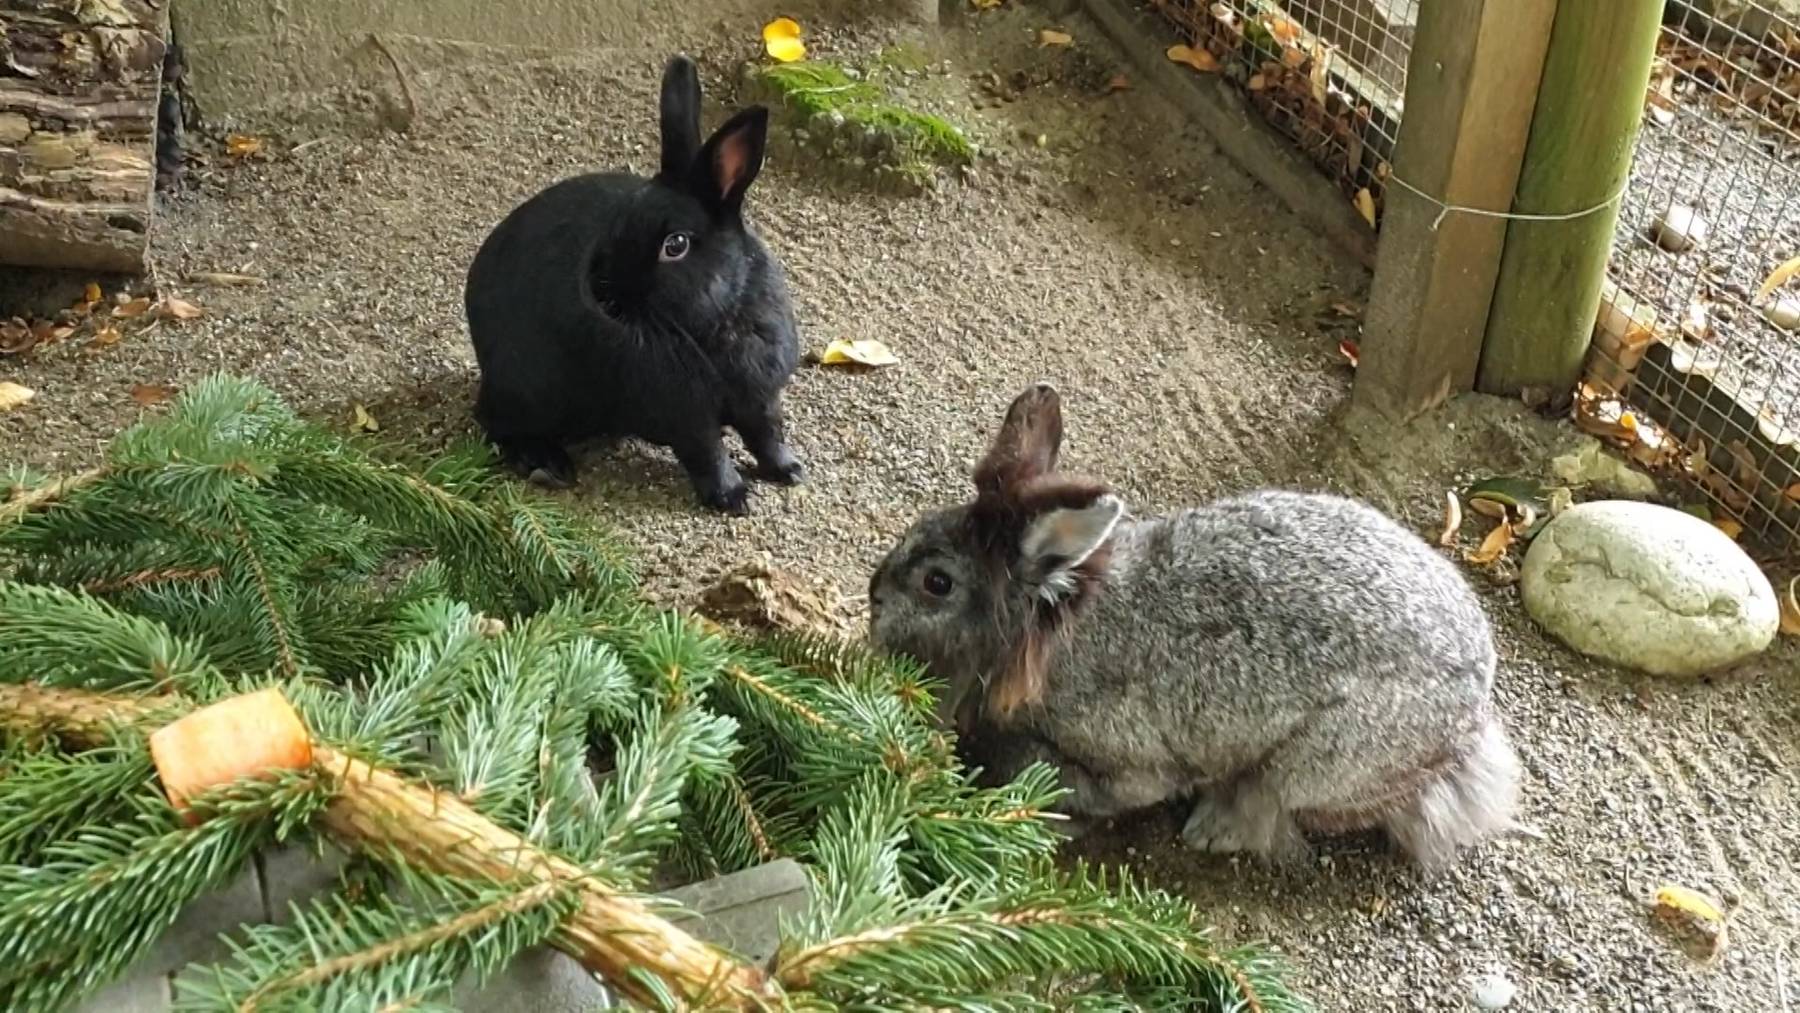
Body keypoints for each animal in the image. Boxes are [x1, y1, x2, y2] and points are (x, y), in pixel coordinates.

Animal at [464, 54, 802, 514]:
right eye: (620, 219)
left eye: (674, 245)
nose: (600, 294)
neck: (721, 316)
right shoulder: (685, 415)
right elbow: (707, 454)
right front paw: (733, 498)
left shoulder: (760, 399)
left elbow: (767, 435)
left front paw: (790, 471)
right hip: (529, 388)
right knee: (492, 423)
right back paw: (545, 464)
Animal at [867, 385, 1519, 867]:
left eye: (937, 583)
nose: (873, 599)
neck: (1051, 623)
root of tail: (1468, 726)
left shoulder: (1125, 757)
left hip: (1311, 763)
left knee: (1270, 805)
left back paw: (1210, 829)